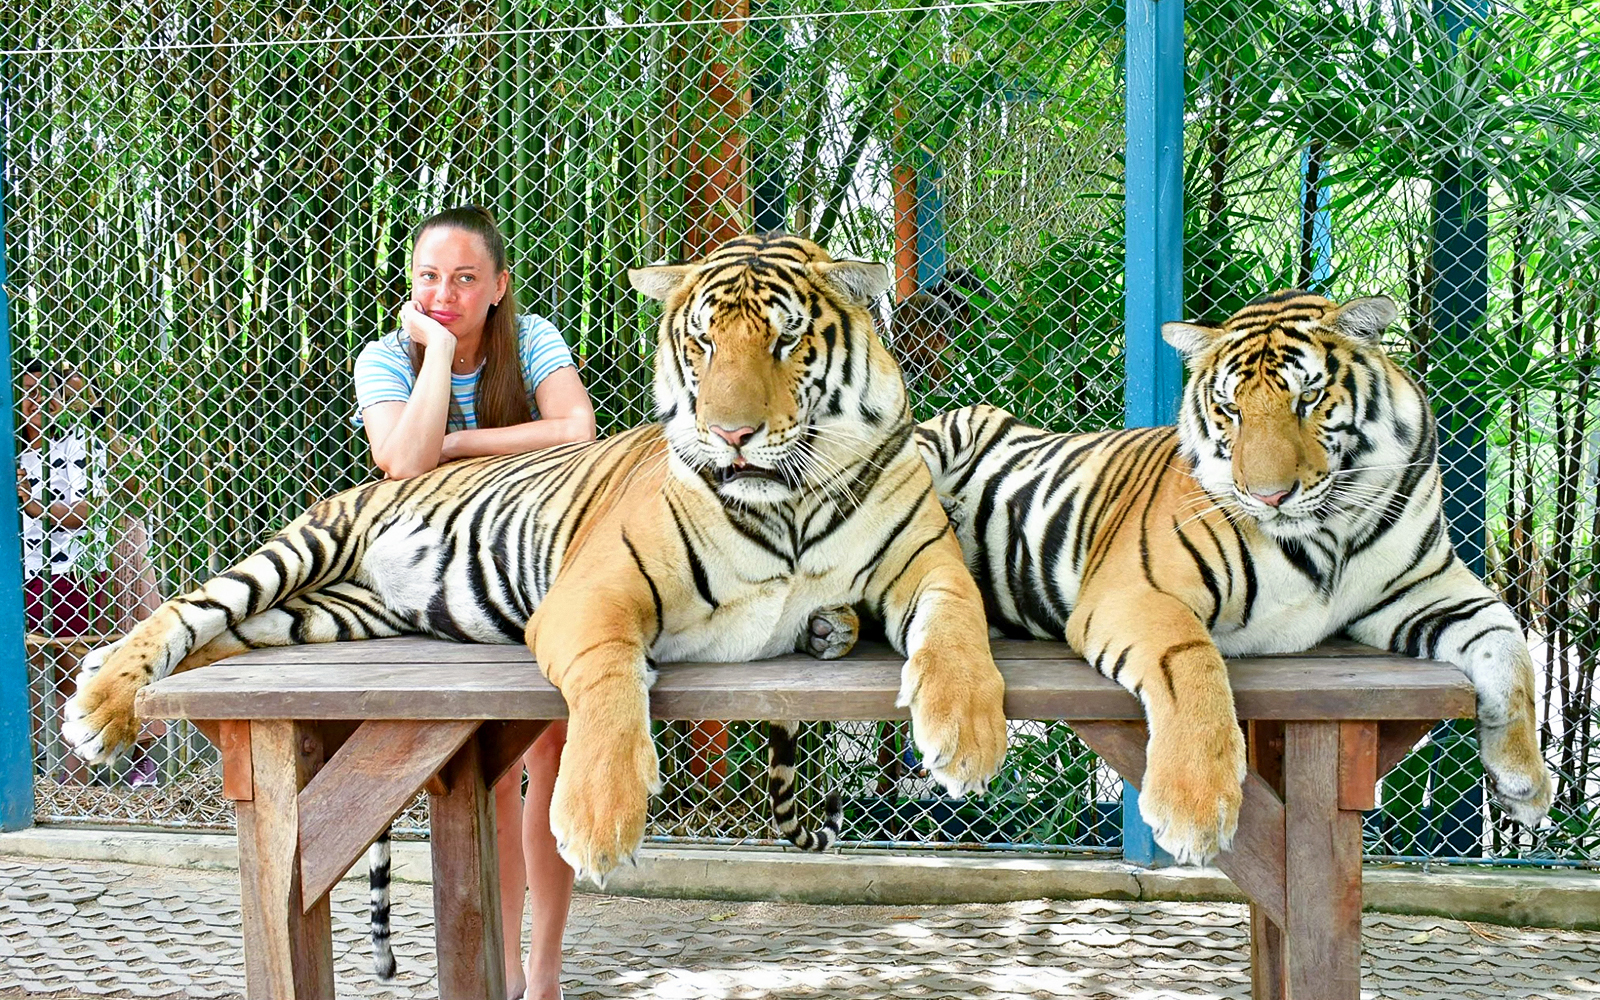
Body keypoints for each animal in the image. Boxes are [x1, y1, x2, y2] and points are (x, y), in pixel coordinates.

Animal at [61, 233, 1008, 887]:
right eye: (703, 344)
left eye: (784, 342)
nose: (730, 433)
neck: (791, 501)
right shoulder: (596, 590)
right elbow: (610, 684)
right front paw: (596, 819)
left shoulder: (927, 559)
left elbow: (959, 625)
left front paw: (965, 737)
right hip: (305, 548)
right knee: (188, 608)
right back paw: (99, 707)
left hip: (319, 616)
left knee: (225, 637)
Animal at [915, 290, 1553, 864]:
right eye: (1231, 409)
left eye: (1308, 398)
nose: (1269, 496)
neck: (1331, 529)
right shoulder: (1136, 590)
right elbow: (1192, 663)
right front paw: (1194, 810)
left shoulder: (1428, 589)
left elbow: (1510, 645)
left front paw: (1524, 783)